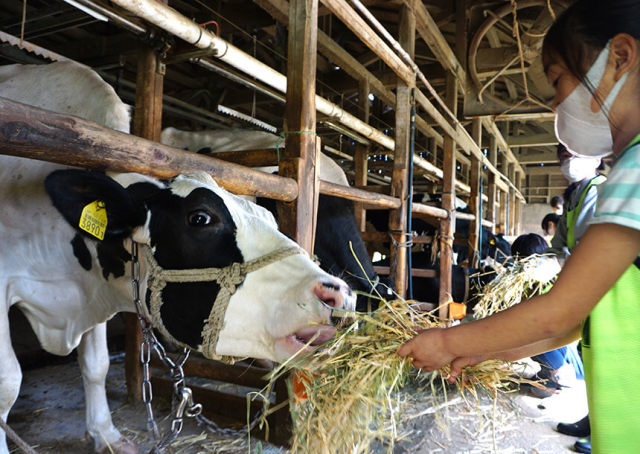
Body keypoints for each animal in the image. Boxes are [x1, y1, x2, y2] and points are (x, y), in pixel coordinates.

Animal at [0, 61, 356, 454]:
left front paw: (107, 435)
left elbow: (95, 365)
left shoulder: (92, 286)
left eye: (268, 216)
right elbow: (8, 383)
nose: (337, 293)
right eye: (200, 218)